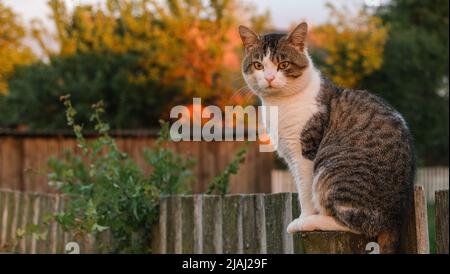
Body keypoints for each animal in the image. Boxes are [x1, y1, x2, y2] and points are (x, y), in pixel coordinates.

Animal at [239, 22, 414, 254]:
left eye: (283, 64)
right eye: (258, 65)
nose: (269, 78)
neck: (279, 105)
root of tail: (394, 219)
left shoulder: (304, 153)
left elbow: (305, 192)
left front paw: (304, 217)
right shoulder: (290, 157)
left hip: (331, 170)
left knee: (356, 224)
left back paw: (310, 222)